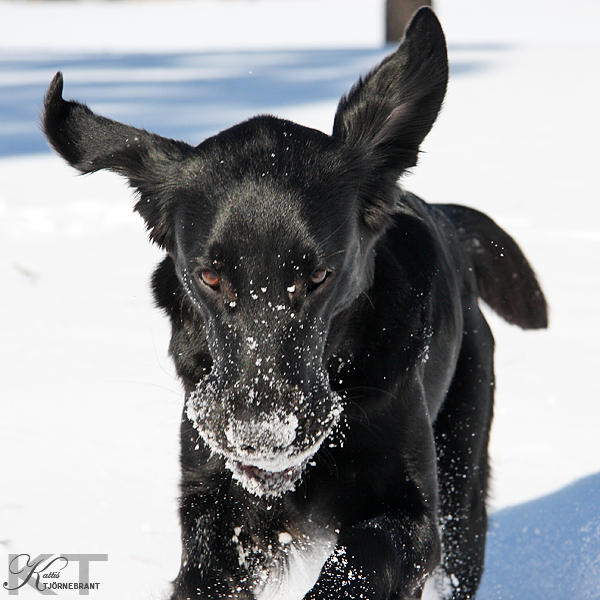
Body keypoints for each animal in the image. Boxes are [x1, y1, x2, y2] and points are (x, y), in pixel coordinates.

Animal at [42, 9, 548, 600]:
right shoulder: (213, 502)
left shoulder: (415, 516)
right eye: (210, 276)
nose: (262, 435)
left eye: (318, 276)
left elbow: (360, 558)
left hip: (463, 475)